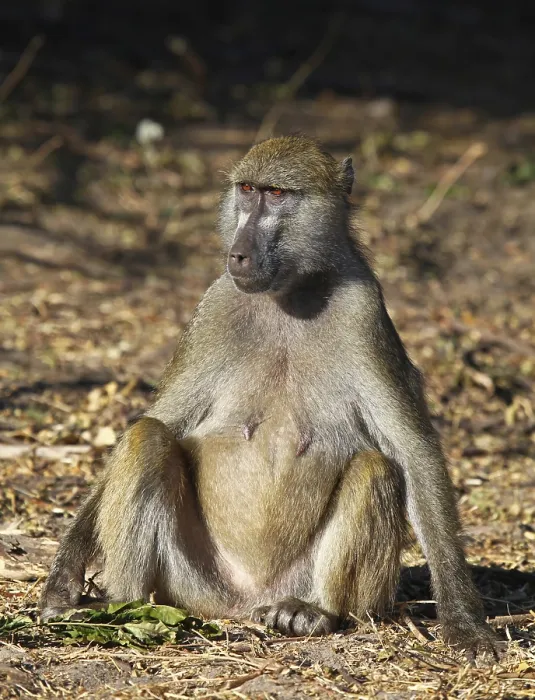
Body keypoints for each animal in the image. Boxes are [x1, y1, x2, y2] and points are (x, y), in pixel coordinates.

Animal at [40, 135, 497, 656]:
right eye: (247, 189)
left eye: (277, 194)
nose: (238, 254)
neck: (289, 295)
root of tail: (244, 602)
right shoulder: (215, 307)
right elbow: (165, 419)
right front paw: (64, 575)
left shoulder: (364, 314)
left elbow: (414, 454)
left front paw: (464, 622)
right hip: (189, 581)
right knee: (146, 437)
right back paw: (123, 605)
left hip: (303, 585)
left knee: (373, 469)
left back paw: (315, 612)